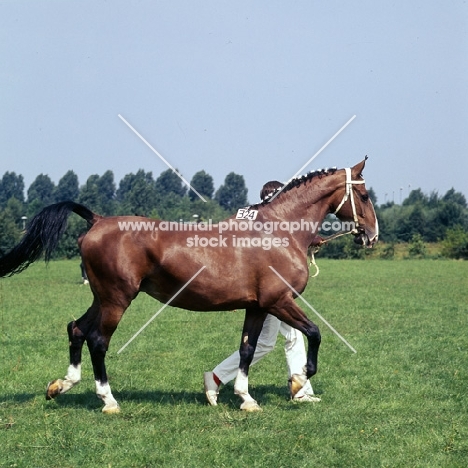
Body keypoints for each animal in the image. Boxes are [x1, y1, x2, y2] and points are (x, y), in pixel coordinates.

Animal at [0, 158, 378, 414]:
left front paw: (245, 398)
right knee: (97, 340)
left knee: (76, 329)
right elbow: (314, 332)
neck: (279, 230)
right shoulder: (279, 300)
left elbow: (246, 350)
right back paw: (108, 400)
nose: (371, 235)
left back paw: (61, 386)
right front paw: (300, 379)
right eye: (363, 193)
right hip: (117, 300)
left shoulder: (257, 307)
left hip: (103, 298)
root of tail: (97, 220)